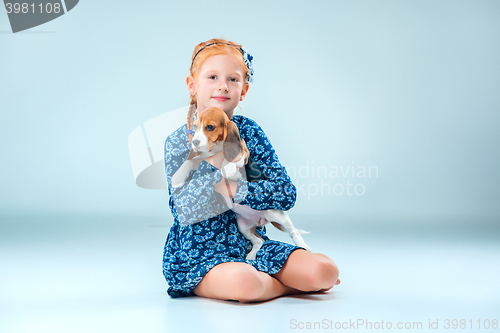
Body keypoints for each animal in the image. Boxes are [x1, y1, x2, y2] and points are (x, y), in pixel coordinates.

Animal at [172, 105, 312, 258]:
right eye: (196, 127)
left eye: (209, 127)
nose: (195, 142)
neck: (216, 149)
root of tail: (260, 220)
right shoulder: (203, 158)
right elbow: (191, 161)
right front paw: (177, 177)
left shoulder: (244, 152)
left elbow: (233, 157)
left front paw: (227, 166)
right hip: (243, 226)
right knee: (260, 241)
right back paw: (251, 255)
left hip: (276, 214)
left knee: (294, 232)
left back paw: (304, 246)